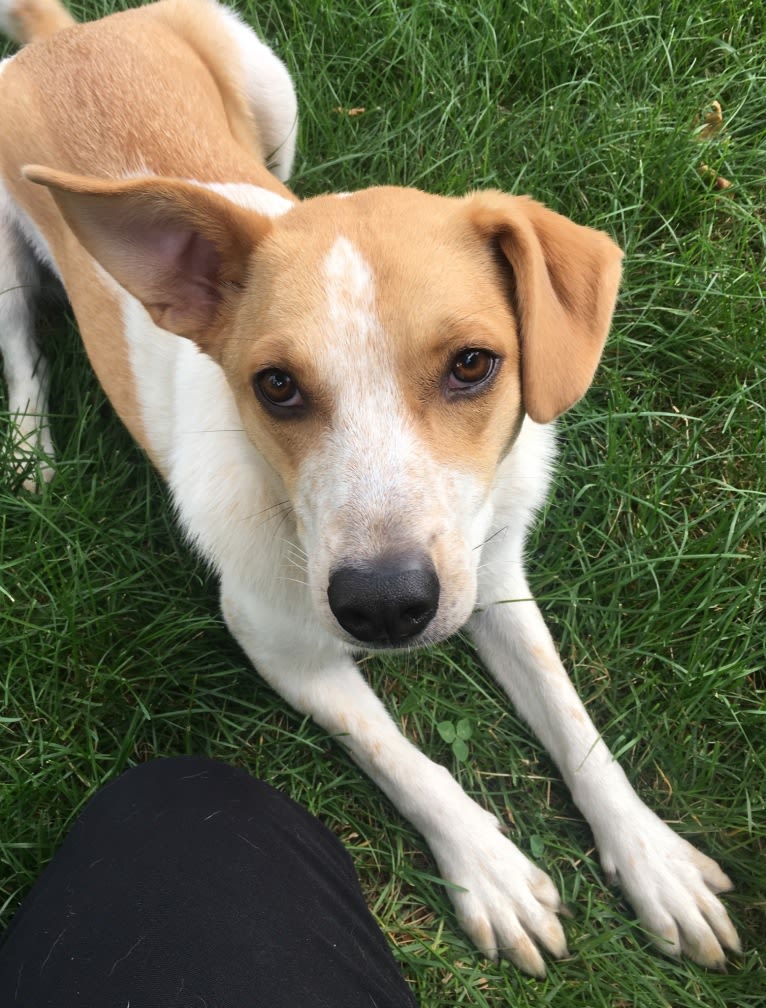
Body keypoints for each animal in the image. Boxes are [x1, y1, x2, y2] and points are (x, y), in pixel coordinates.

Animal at [1, 0, 741, 975]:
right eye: (276, 385)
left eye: (474, 364)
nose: (385, 607)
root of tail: (62, 35)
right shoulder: (277, 643)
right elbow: (399, 755)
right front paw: (490, 869)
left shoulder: (491, 573)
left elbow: (571, 715)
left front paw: (654, 858)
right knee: (19, 340)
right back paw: (30, 451)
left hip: (271, 88)